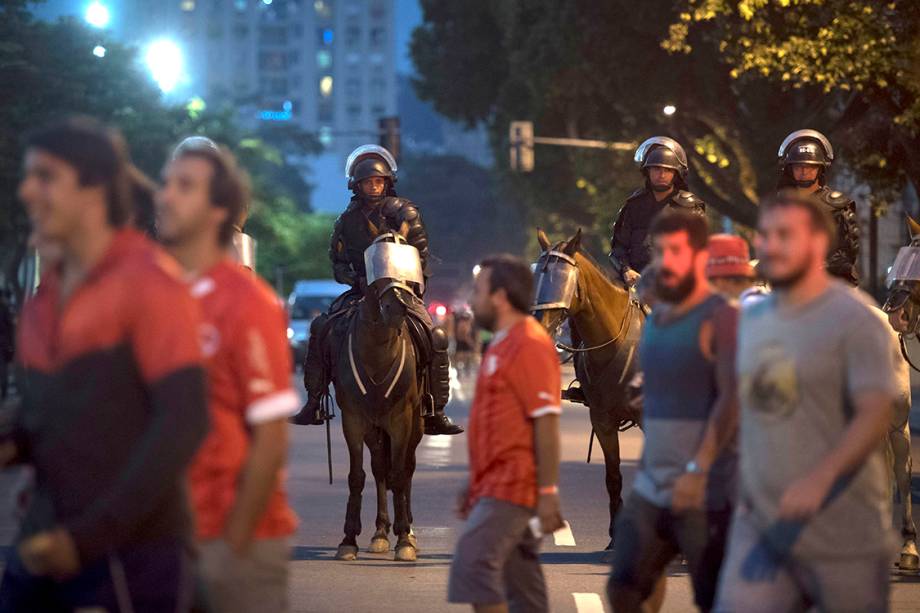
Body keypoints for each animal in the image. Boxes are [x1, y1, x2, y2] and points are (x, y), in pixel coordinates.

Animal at [328, 232, 426, 560]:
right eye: (377, 270)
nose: (398, 308)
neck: (377, 351)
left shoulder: (402, 419)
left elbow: (399, 474)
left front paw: (405, 540)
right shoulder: (353, 419)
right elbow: (358, 475)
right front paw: (348, 539)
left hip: (414, 425)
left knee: (405, 469)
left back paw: (407, 531)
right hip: (375, 428)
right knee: (380, 468)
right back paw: (381, 532)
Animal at [528, 228, 644, 548]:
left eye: (563, 278)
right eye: (538, 276)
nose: (540, 326)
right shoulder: (602, 419)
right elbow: (613, 477)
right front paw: (615, 536)